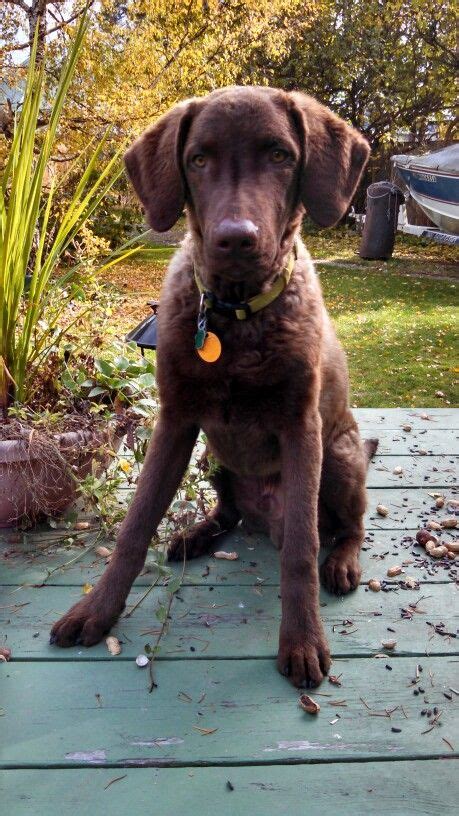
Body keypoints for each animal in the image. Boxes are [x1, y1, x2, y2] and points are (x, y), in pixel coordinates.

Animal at [50, 87, 378, 688]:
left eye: (280, 155)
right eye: (199, 159)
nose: (235, 239)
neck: (235, 314)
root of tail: (263, 517)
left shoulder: (302, 427)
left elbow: (302, 547)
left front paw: (302, 641)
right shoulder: (176, 419)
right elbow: (136, 526)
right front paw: (97, 611)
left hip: (340, 455)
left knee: (346, 525)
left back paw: (342, 561)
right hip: (212, 456)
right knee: (228, 512)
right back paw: (195, 536)